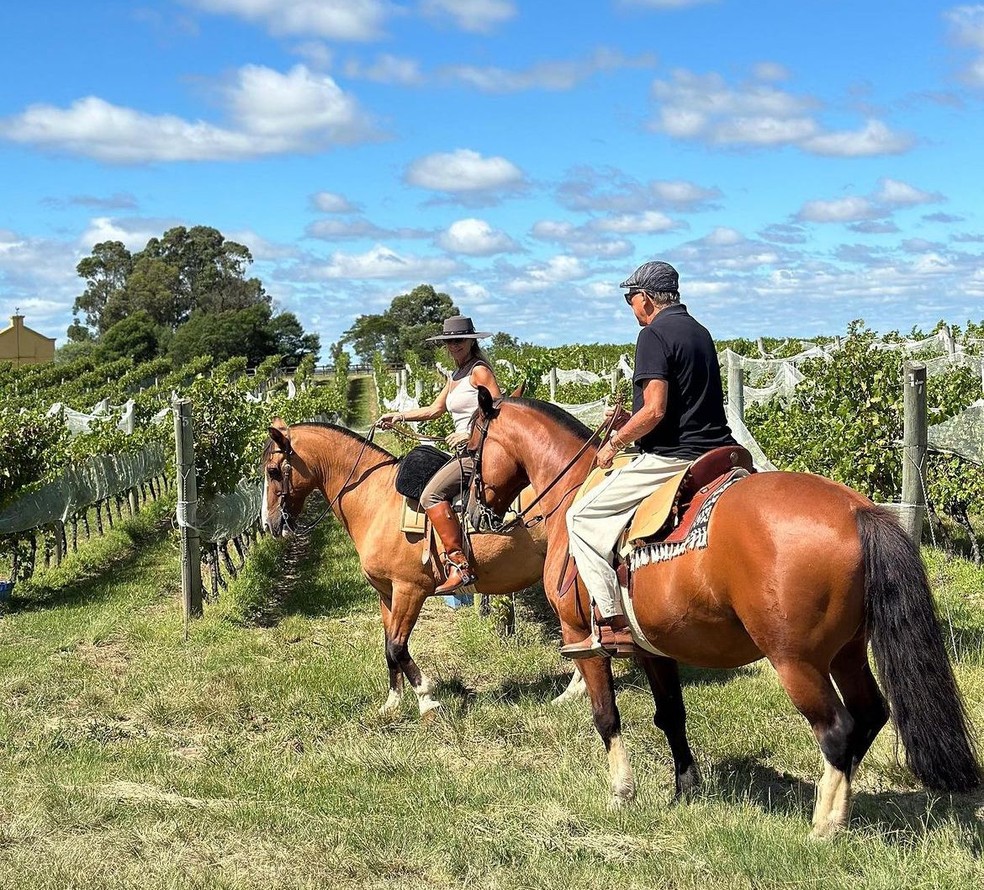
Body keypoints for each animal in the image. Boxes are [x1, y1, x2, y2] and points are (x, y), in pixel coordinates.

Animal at [258, 420, 556, 720]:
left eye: (273, 471)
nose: (269, 524)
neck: (376, 499)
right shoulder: (386, 594)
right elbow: (388, 647)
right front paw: (392, 702)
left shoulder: (409, 590)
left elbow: (397, 646)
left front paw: (427, 700)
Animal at [466, 386, 980, 832]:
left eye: (468, 449)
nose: (473, 514)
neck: (574, 491)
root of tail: (858, 511)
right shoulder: (654, 649)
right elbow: (671, 715)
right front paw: (685, 787)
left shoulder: (582, 639)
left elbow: (606, 716)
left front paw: (621, 793)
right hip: (846, 652)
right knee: (870, 714)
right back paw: (838, 806)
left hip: (797, 662)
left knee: (837, 729)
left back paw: (824, 825)